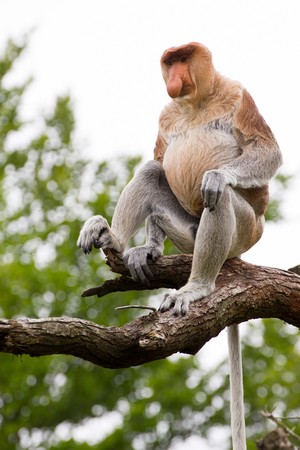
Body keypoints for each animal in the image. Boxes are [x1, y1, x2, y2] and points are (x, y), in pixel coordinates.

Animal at [77, 43, 282, 450]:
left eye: (184, 58)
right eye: (169, 61)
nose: (173, 76)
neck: (196, 102)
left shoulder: (238, 94)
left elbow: (267, 150)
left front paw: (217, 175)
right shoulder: (166, 113)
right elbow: (159, 159)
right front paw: (145, 249)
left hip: (245, 230)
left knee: (221, 198)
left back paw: (196, 286)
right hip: (187, 230)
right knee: (151, 171)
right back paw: (114, 238)